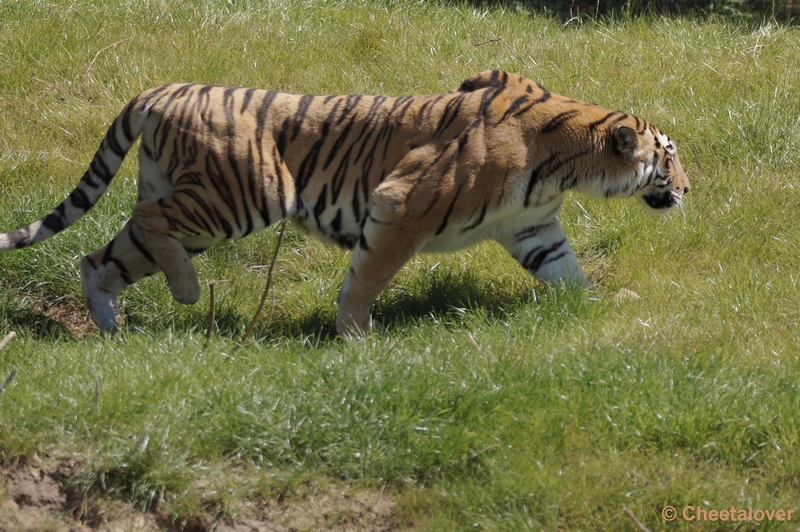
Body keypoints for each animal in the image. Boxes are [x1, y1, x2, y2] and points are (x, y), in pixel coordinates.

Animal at [0, 69, 688, 336]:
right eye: (670, 154)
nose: (687, 189)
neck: (567, 165)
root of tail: (163, 88)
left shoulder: (532, 227)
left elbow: (568, 273)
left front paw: (598, 307)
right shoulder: (403, 202)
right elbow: (370, 274)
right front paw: (357, 337)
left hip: (189, 201)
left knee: (101, 257)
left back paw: (111, 327)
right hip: (240, 195)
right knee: (143, 223)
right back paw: (188, 290)